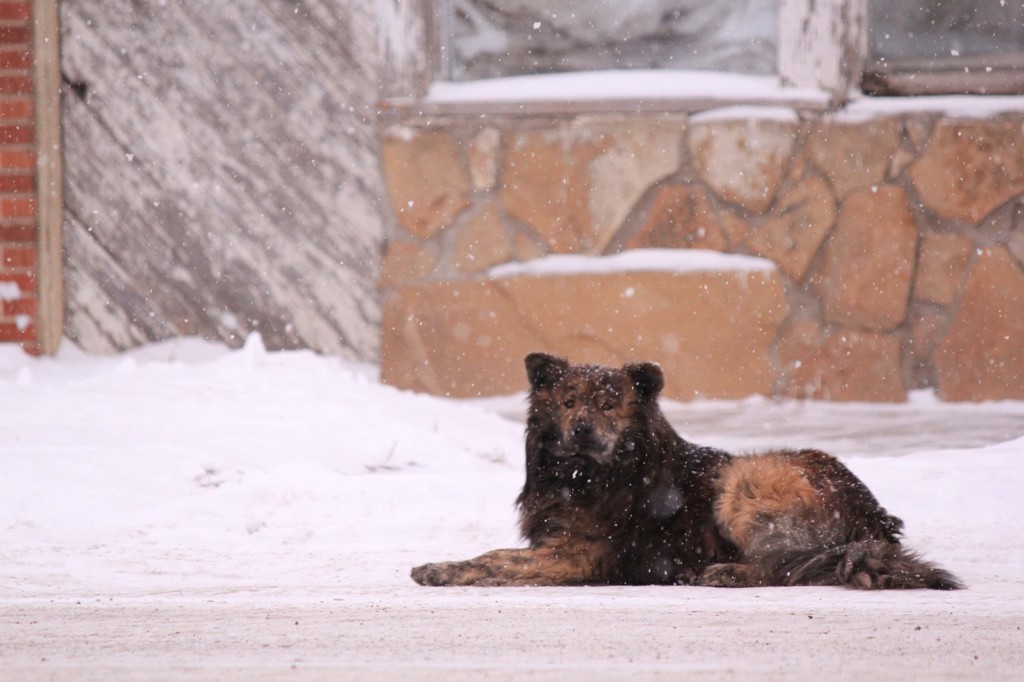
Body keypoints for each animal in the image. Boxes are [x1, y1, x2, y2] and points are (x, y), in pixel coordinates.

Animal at [411, 352, 962, 585]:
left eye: (609, 405)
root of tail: (872, 517)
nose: (583, 428)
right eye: (568, 403)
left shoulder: (574, 555)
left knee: (783, 566)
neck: (589, 475)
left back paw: (726, 573)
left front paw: (442, 569)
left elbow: (494, 559)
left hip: (744, 481)